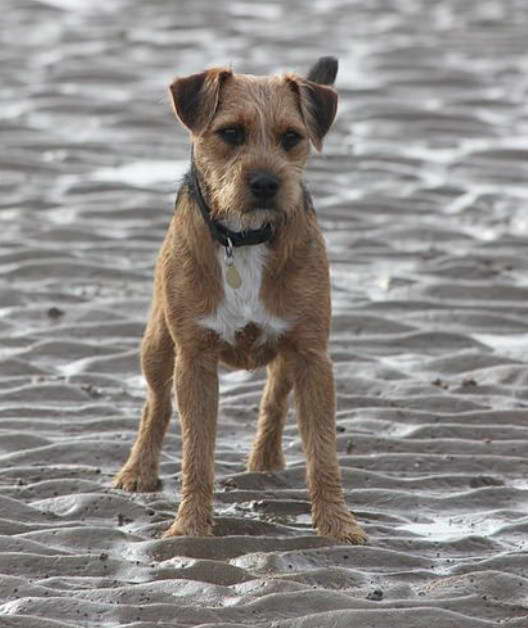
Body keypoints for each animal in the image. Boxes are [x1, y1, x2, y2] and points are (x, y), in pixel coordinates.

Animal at [112, 56, 368, 544]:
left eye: (291, 137)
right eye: (230, 133)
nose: (267, 183)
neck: (244, 238)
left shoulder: (313, 355)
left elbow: (323, 451)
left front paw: (338, 523)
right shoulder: (193, 359)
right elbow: (196, 451)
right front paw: (190, 526)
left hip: (288, 353)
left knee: (273, 398)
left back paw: (266, 462)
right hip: (158, 341)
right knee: (156, 403)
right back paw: (138, 471)